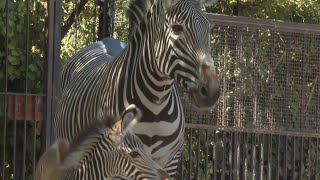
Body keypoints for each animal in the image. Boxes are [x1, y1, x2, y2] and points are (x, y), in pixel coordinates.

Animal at [55, 0, 220, 177]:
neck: (155, 107)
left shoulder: (169, 160)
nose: (212, 92)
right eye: (177, 28)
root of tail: (103, 40)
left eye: (208, 28)